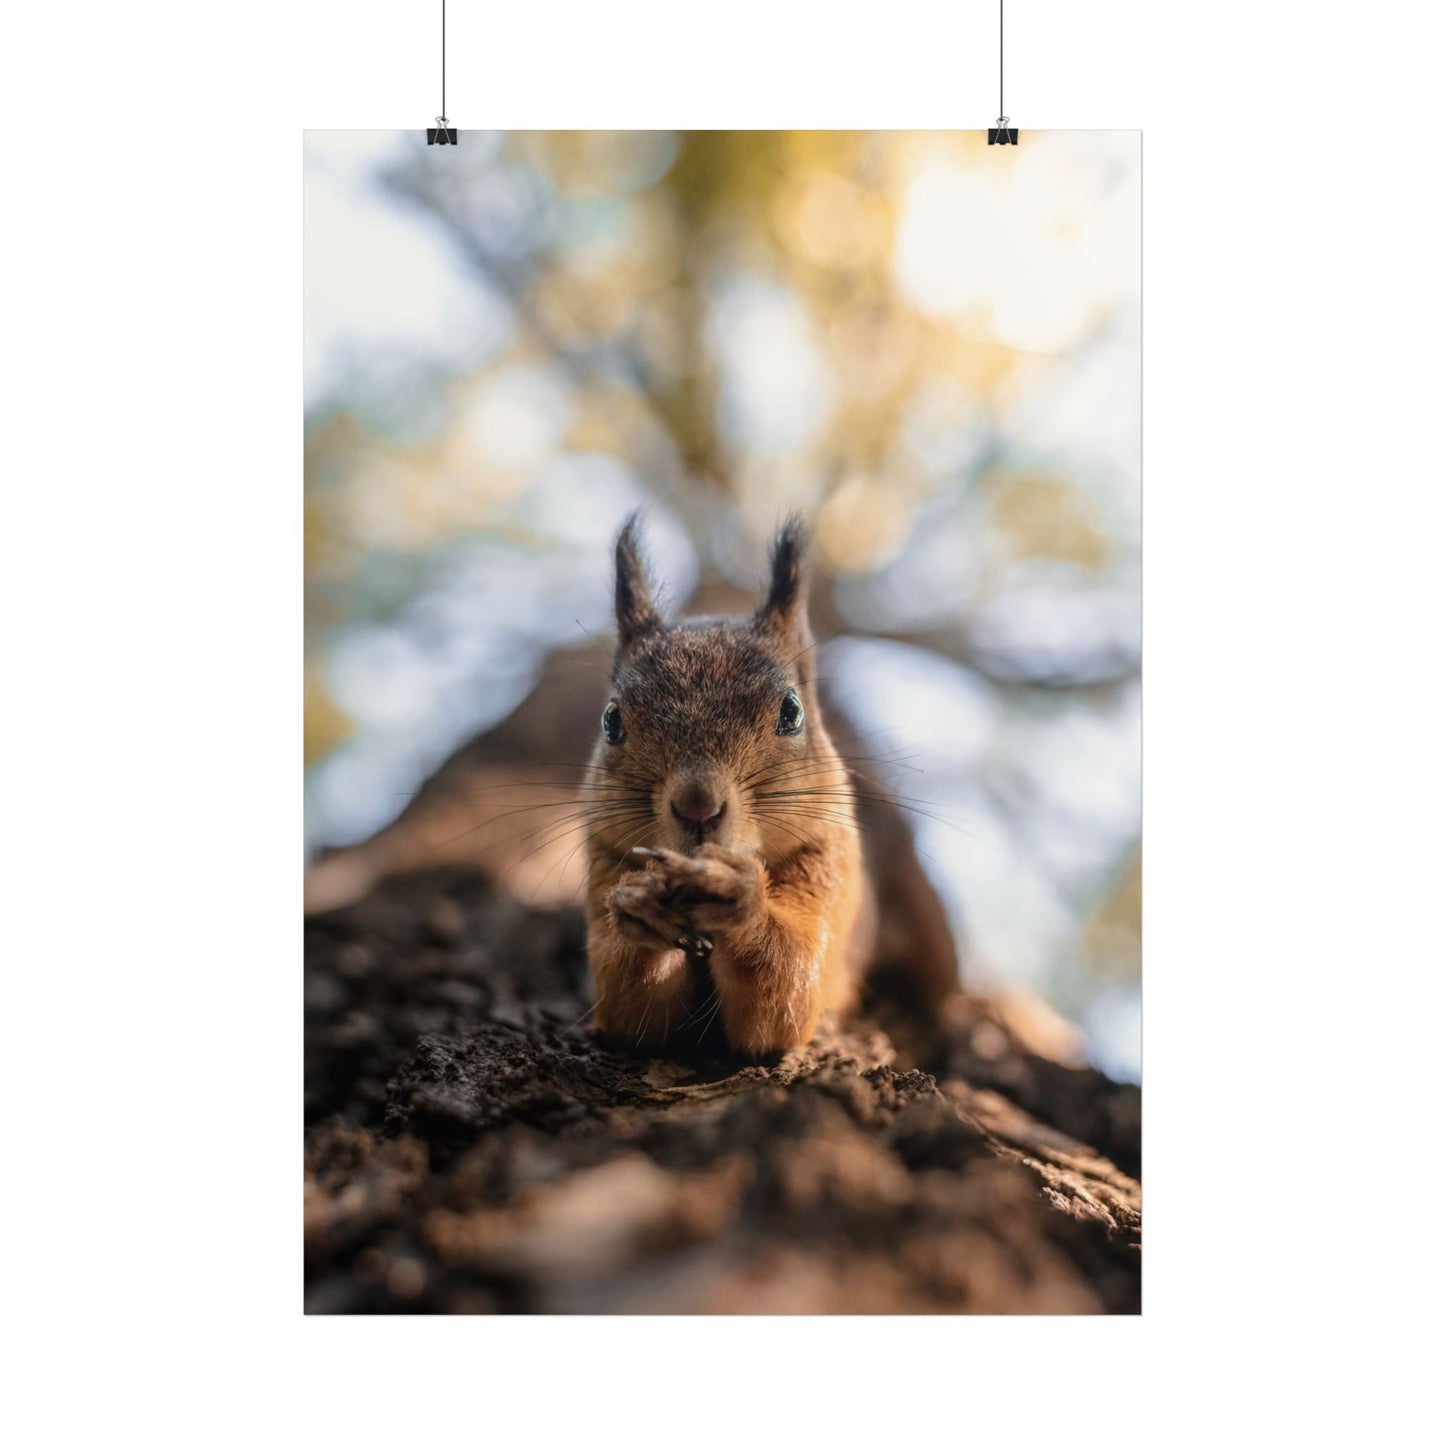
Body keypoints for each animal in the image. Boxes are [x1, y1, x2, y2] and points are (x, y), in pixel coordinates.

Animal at [585, 515, 958, 1057]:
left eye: (792, 710)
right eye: (611, 720)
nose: (697, 805)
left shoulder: (831, 863)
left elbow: (784, 992)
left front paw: (739, 895)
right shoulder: (601, 861)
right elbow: (632, 1011)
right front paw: (643, 906)